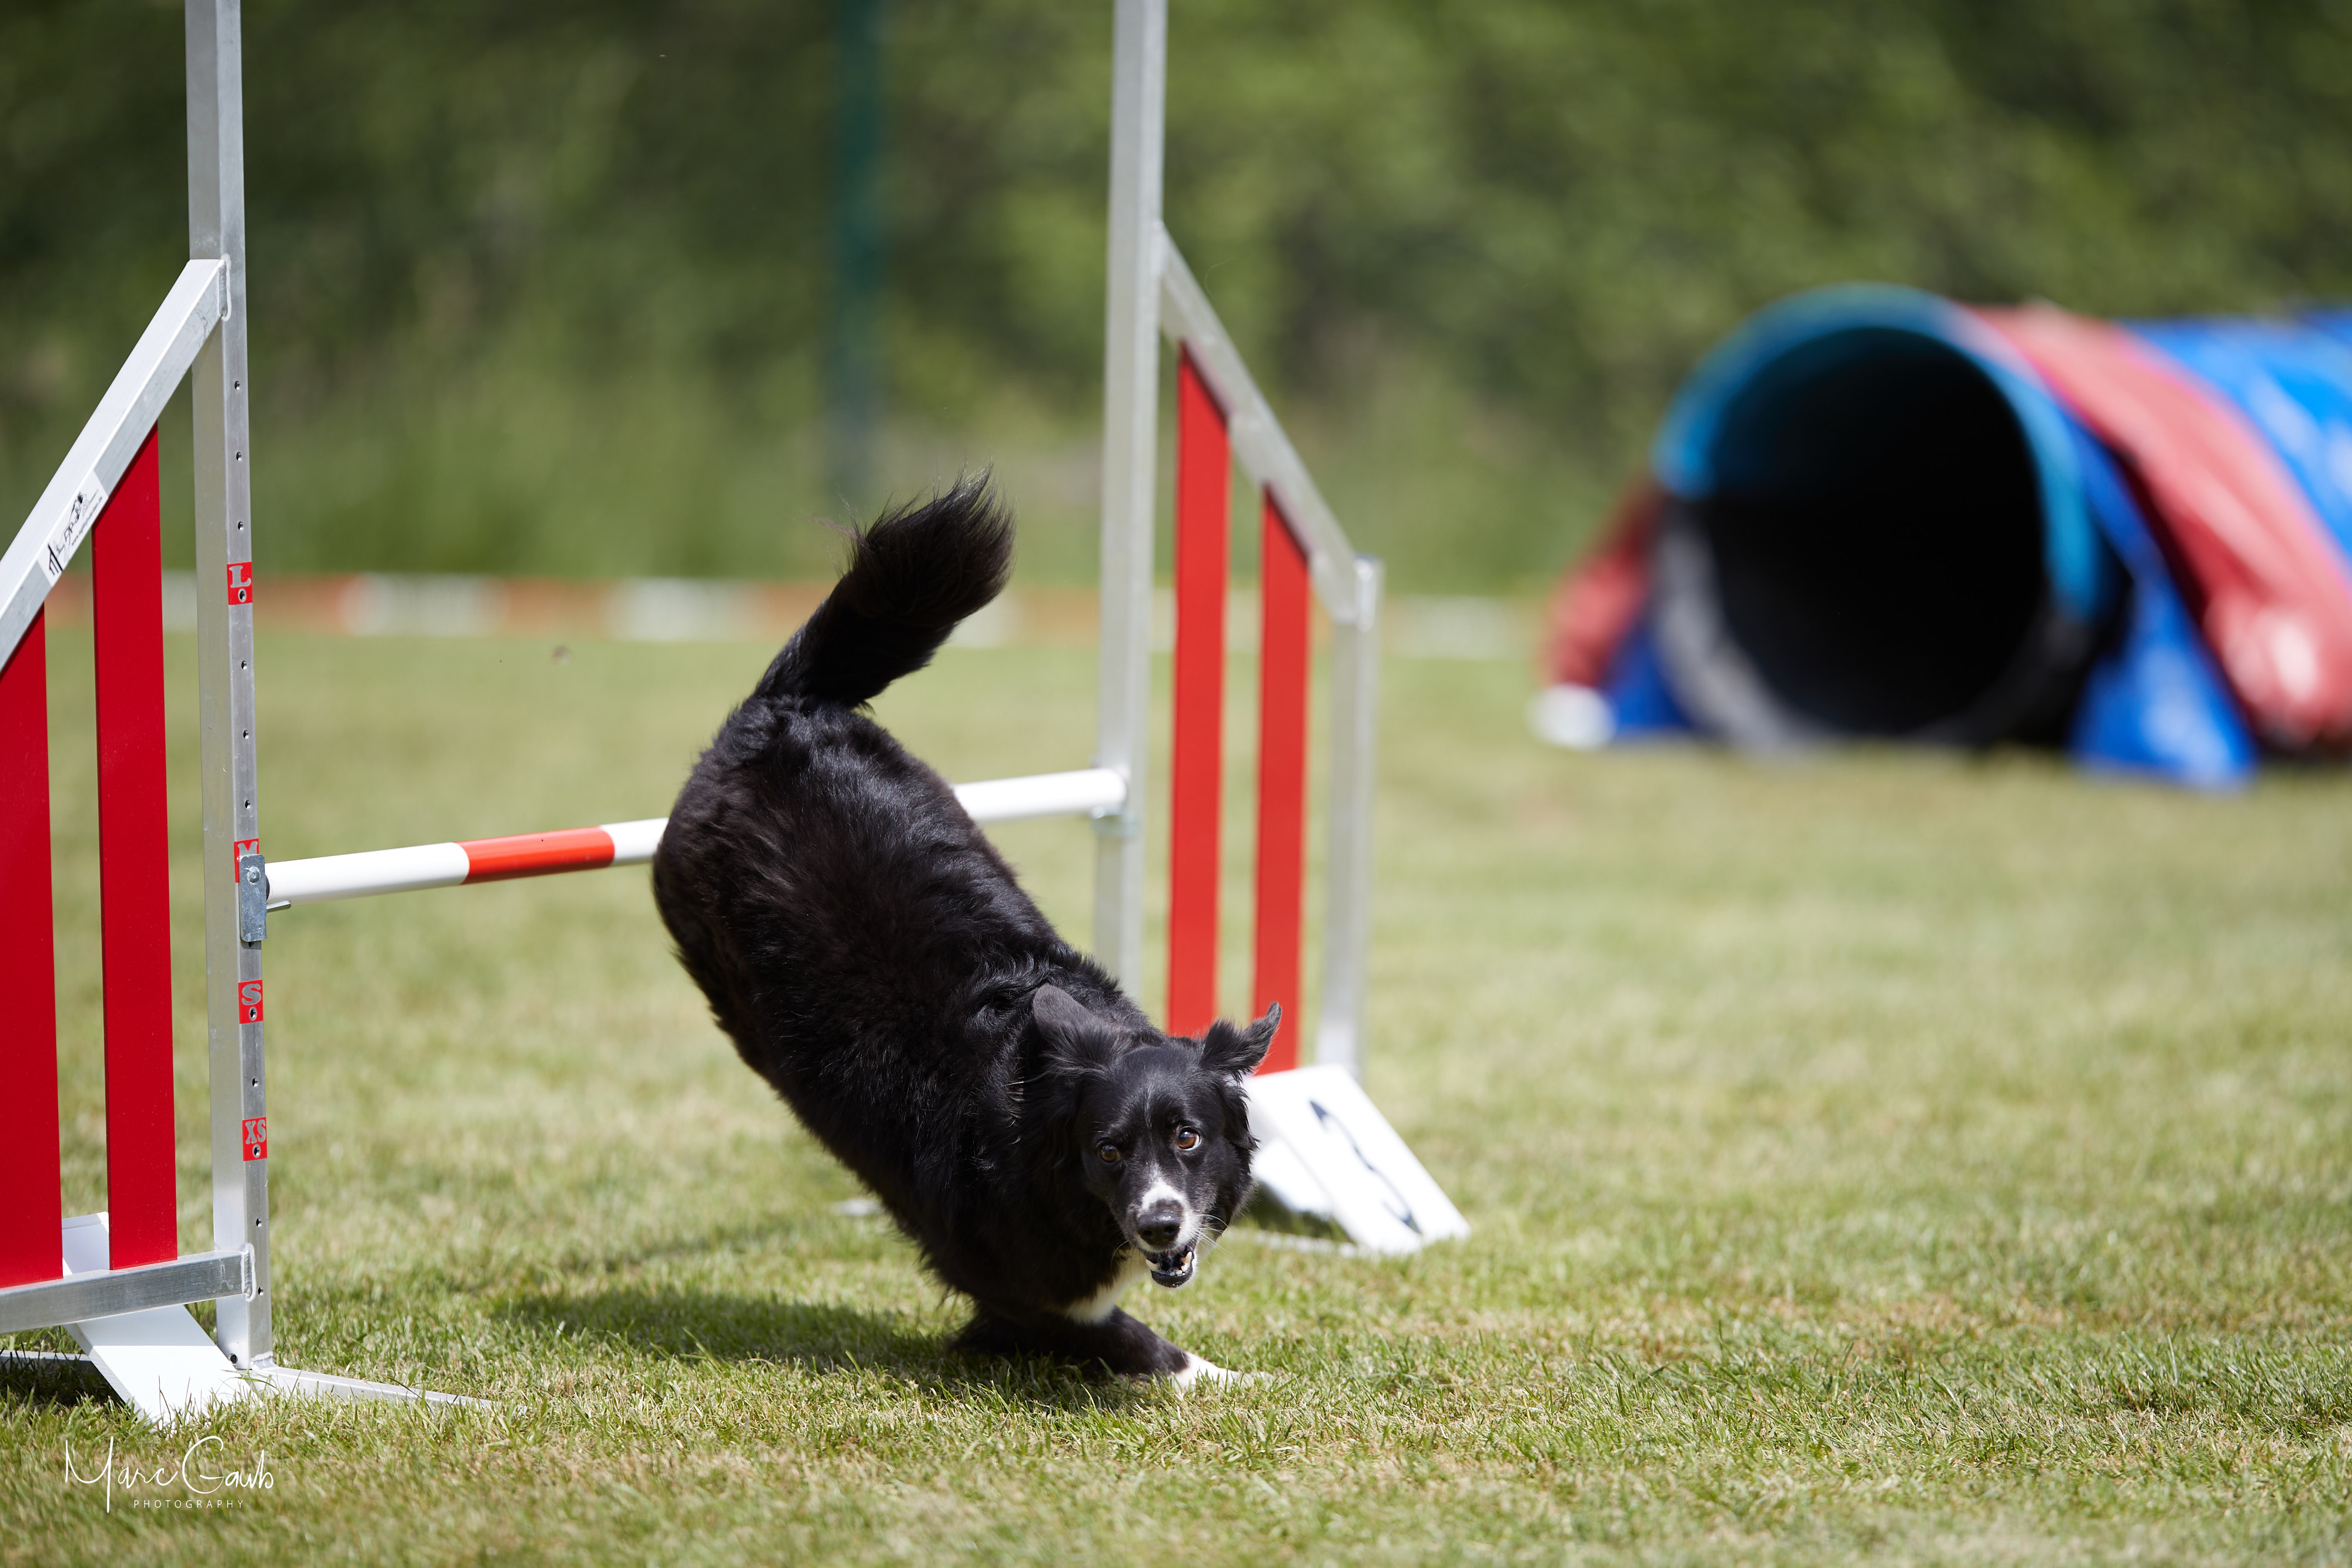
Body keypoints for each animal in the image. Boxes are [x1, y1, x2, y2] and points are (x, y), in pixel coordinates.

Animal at [652, 478, 1275, 1384]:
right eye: (1109, 1150)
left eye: (1188, 1137)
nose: (1160, 1224)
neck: (1031, 1113)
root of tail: (782, 711)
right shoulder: (1015, 1282)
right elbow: (1118, 1333)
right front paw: (1217, 1376)